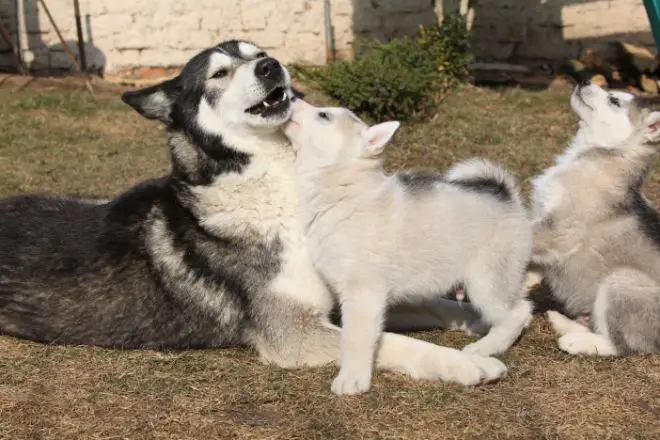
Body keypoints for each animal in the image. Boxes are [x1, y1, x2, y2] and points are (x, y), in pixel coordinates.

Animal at [0, 39, 506, 386]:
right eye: (220, 73)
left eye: (259, 53)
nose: (271, 65)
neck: (280, 189)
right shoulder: (293, 331)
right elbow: (390, 341)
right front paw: (468, 363)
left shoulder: (348, 293)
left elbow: (429, 304)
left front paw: (484, 323)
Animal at [282, 99, 532, 396]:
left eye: (324, 115)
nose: (291, 98)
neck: (345, 191)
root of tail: (507, 196)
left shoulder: (363, 294)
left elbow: (355, 339)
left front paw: (352, 379)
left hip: (486, 282)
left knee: (518, 313)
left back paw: (488, 346)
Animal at [532, 81, 660, 358]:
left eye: (614, 100)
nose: (584, 81)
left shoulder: (558, 230)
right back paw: (564, 323)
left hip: (621, 282)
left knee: (620, 346)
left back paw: (576, 341)